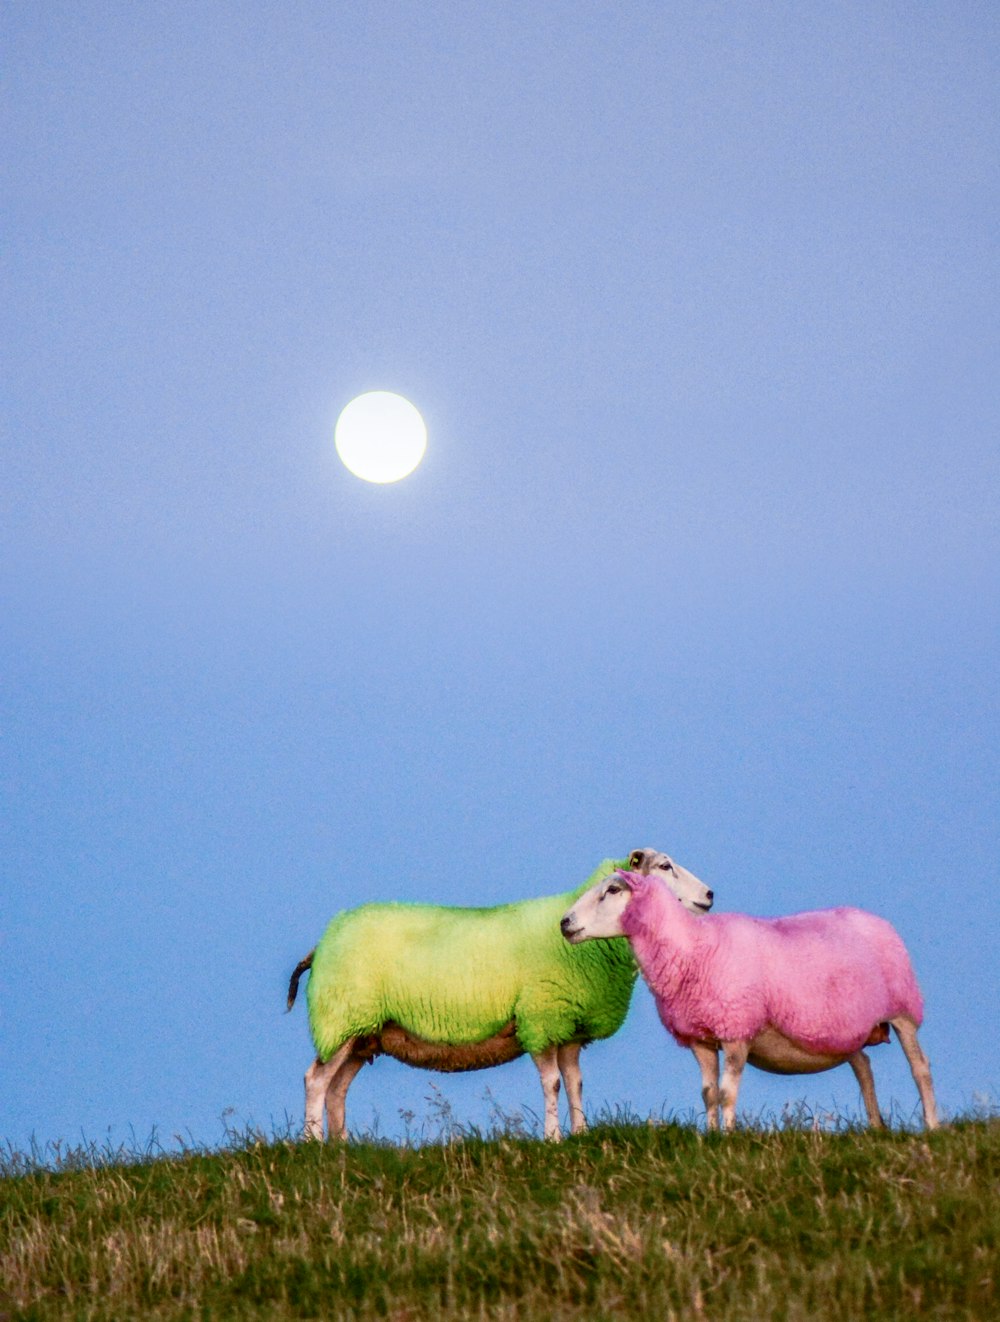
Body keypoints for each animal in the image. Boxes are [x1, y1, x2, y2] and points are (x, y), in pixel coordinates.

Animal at [285, 851, 714, 1142]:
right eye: (664, 866)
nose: (709, 895)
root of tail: (322, 943)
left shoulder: (568, 1028)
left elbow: (575, 1082)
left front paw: (580, 1134)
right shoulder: (540, 1019)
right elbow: (552, 1084)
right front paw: (553, 1138)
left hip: (362, 1034)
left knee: (337, 1088)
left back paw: (342, 1147)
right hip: (341, 1021)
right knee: (315, 1080)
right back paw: (313, 1144)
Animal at [563, 861, 936, 1131]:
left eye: (612, 890)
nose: (565, 922)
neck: (692, 946)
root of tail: (875, 919)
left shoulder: (736, 1030)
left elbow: (727, 1094)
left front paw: (728, 1138)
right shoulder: (700, 1038)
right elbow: (708, 1094)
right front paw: (711, 1136)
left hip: (903, 1011)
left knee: (920, 1068)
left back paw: (932, 1126)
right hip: (849, 1030)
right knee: (864, 1068)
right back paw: (875, 1128)